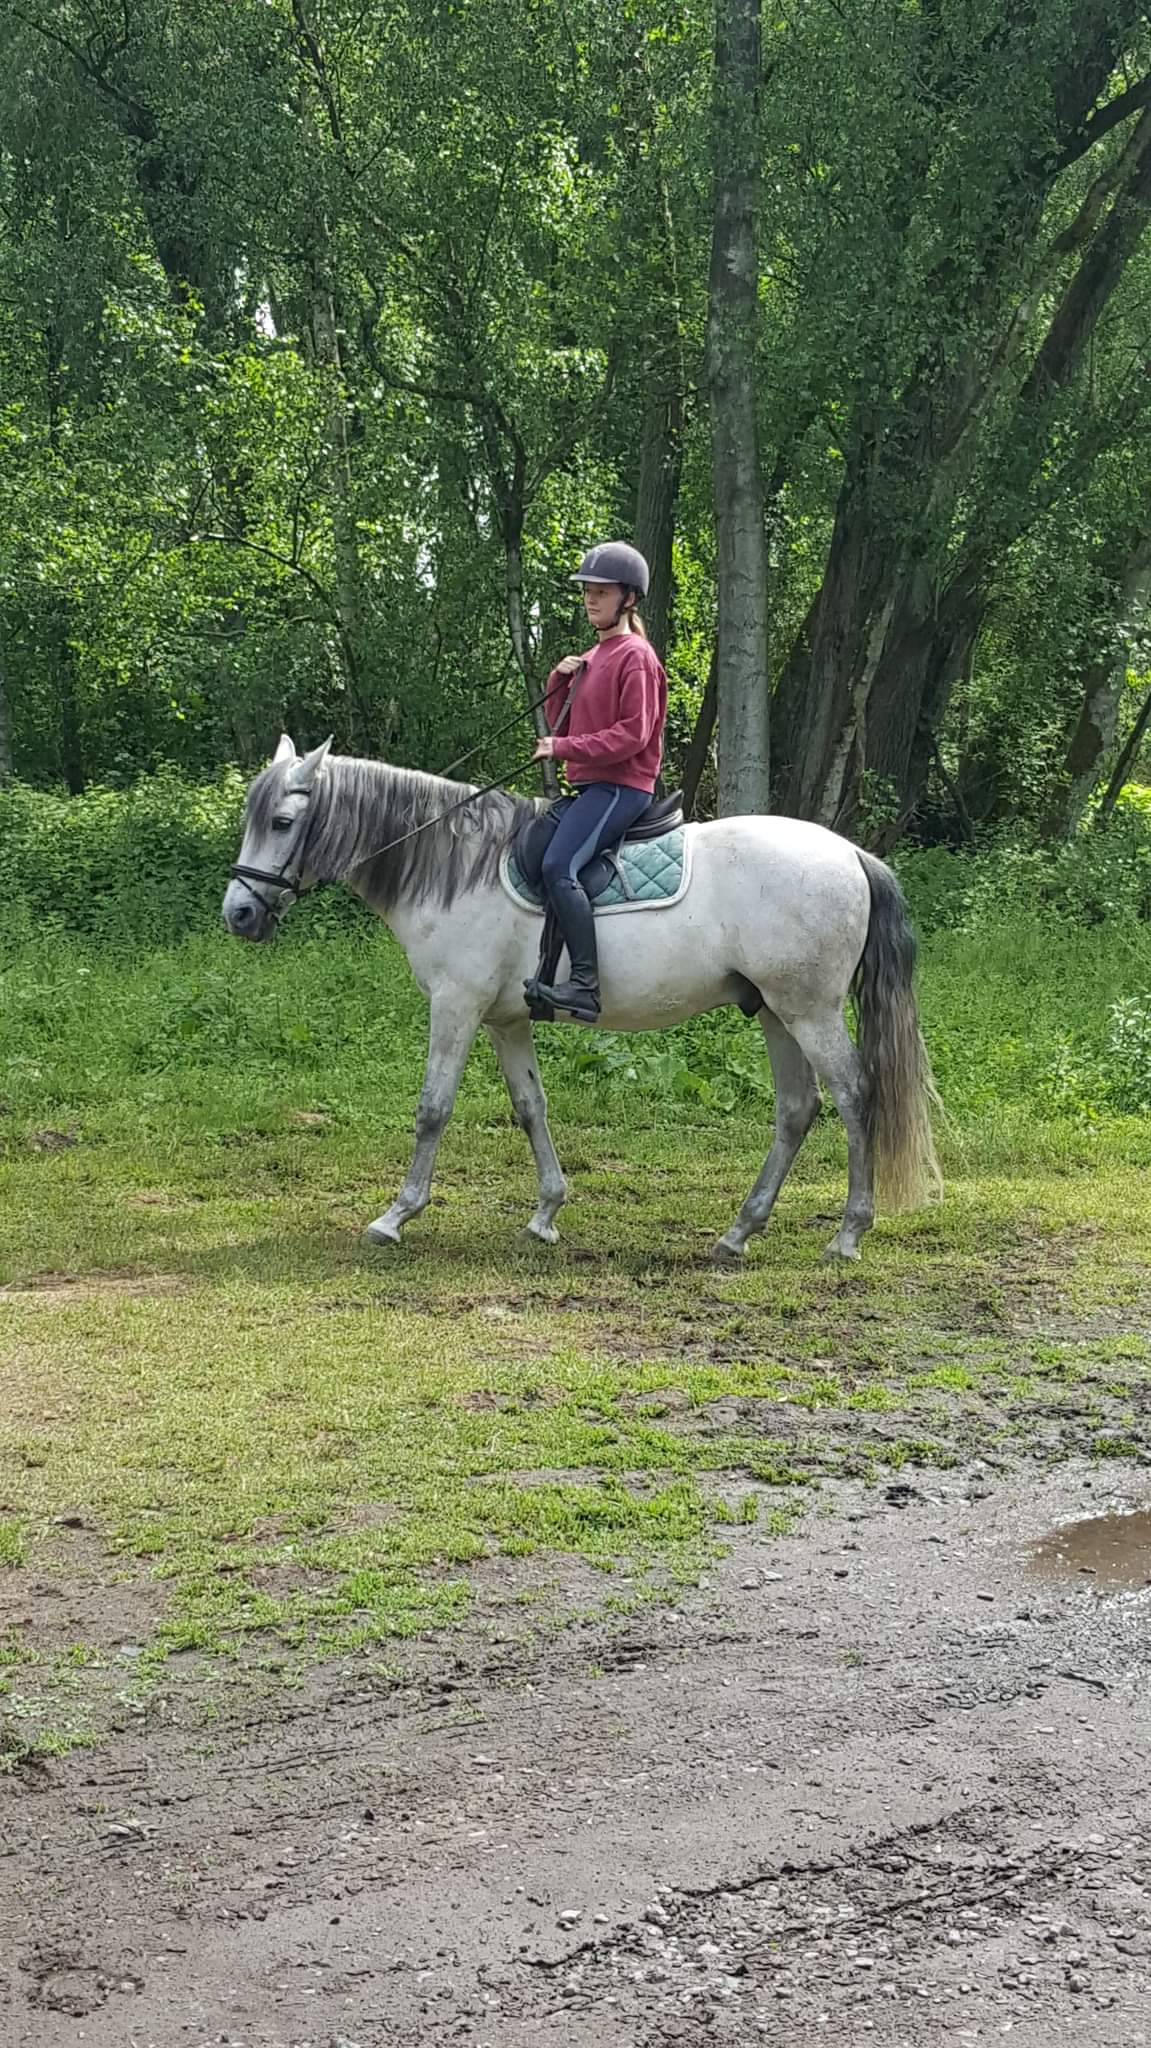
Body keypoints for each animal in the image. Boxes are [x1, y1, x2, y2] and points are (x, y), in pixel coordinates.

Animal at [222, 735, 940, 1262]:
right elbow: (530, 1108)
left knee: (853, 1096)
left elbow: (432, 1108)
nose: (239, 914)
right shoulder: (504, 1020)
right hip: (774, 1010)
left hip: (809, 1011)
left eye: (282, 821)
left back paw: (847, 1232)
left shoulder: (455, 1006)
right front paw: (545, 1212)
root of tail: (850, 854)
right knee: (797, 1109)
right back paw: (739, 1231)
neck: (455, 866)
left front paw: (396, 1215)